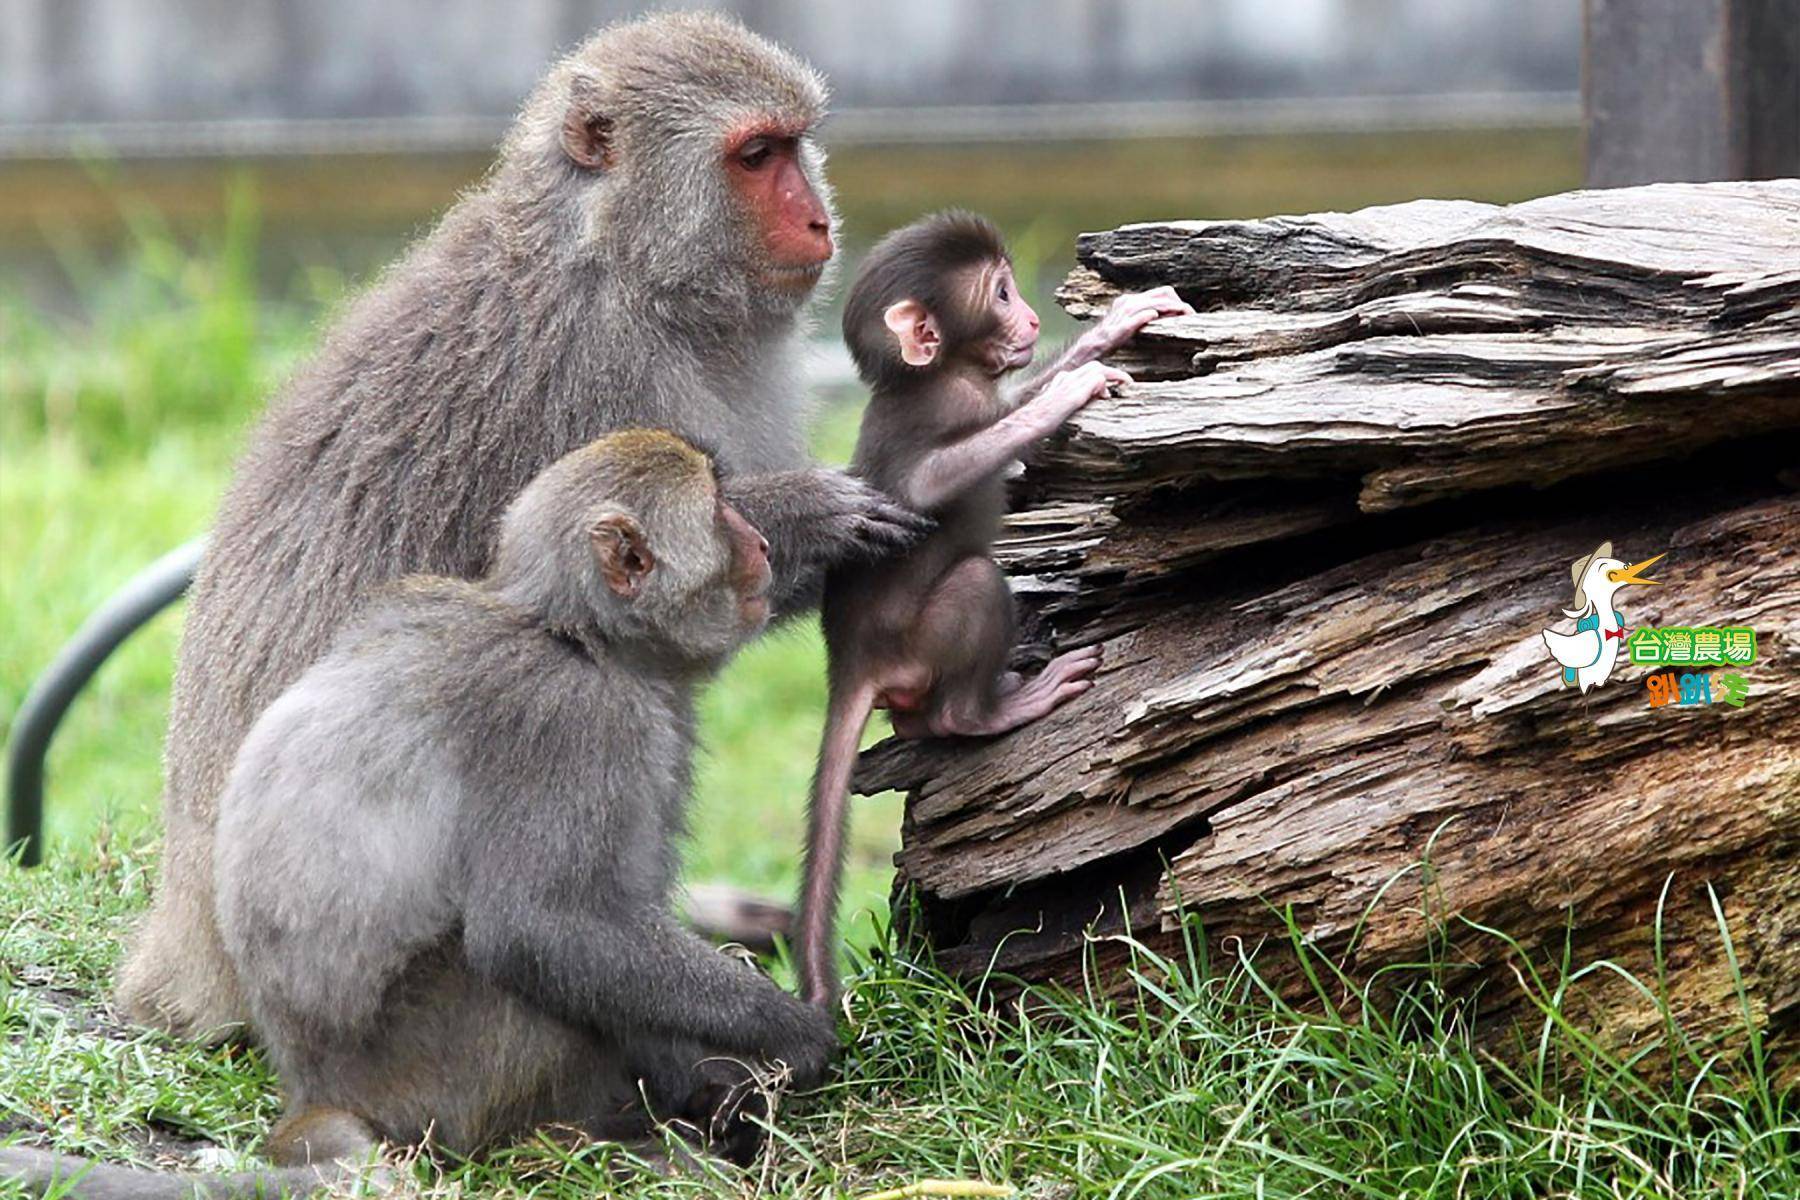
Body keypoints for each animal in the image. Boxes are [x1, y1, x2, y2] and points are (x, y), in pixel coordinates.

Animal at [799, 213, 1195, 1007]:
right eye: (1003, 294)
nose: (1035, 318)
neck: (939, 373)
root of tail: (851, 663)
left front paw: (1114, 325)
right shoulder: (948, 410)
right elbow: (929, 482)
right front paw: (1068, 393)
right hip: (920, 642)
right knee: (977, 585)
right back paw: (988, 710)